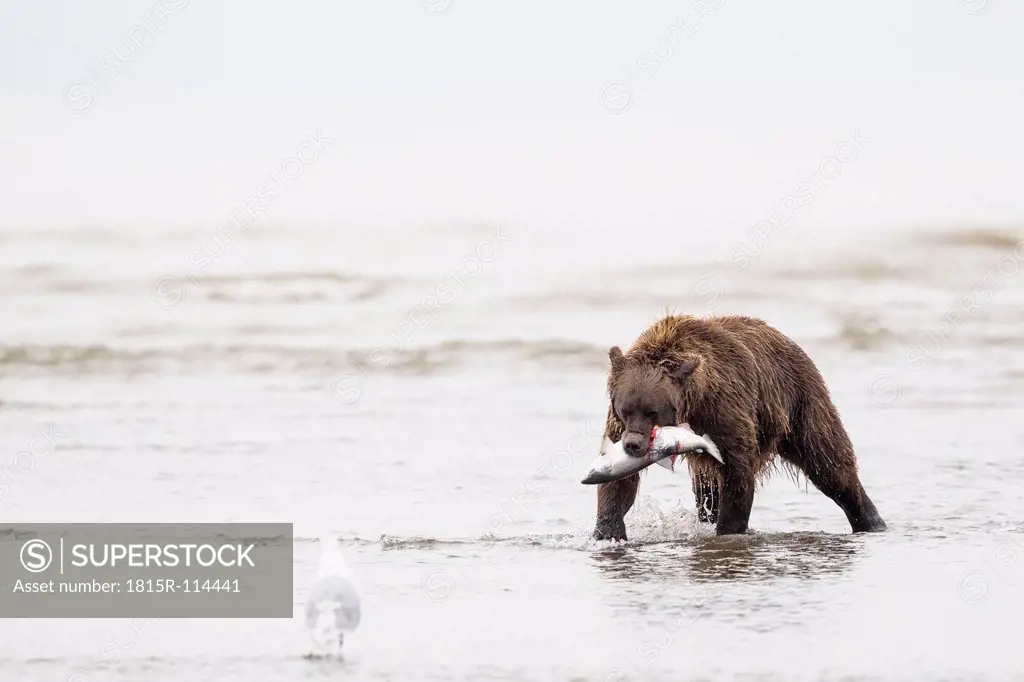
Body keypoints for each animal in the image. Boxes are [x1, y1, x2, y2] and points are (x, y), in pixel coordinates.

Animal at [593, 311, 888, 540]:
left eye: (652, 412)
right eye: (625, 409)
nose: (633, 445)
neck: (693, 402)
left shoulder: (723, 410)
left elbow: (737, 471)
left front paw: (728, 530)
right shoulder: (616, 426)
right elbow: (619, 483)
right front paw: (608, 531)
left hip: (801, 404)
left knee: (830, 465)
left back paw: (871, 521)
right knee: (706, 491)